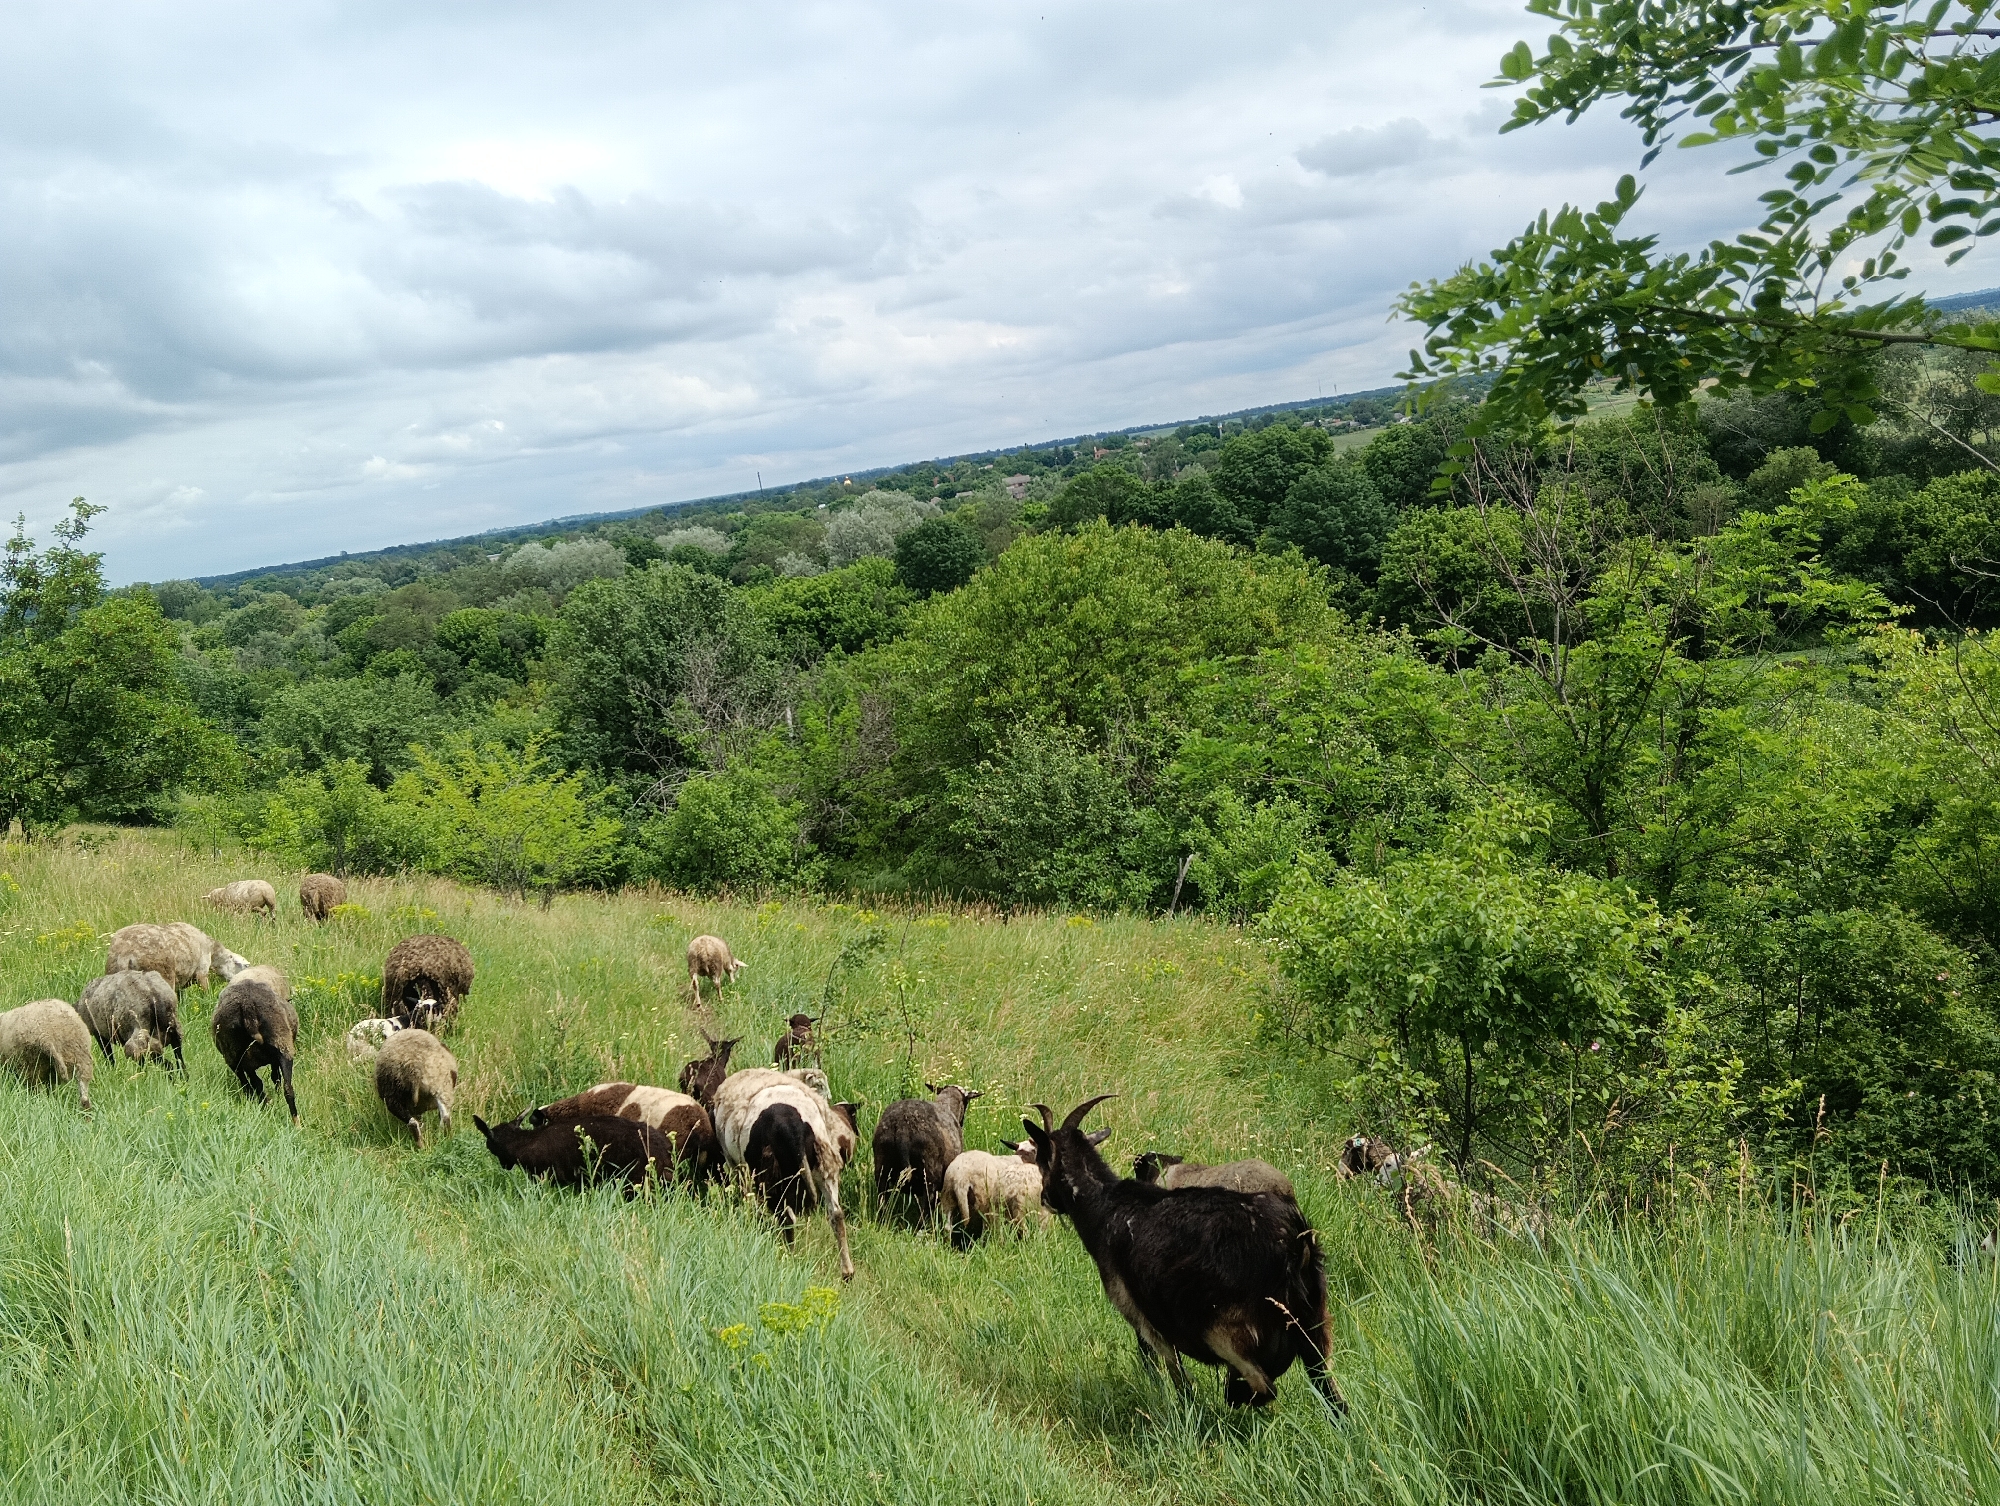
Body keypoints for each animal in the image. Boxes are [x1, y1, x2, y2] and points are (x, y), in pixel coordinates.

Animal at [211, 977, 299, 1122]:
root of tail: (247, 1005)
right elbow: (274, 1077)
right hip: (281, 1046)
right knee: (285, 1088)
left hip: (236, 1055)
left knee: (256, 1085)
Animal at [710, 1067, 861, 1279]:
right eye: (820, 1085)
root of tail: (792, 1127)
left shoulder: (737, 1167)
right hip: (824, 1163)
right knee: (836, 1215)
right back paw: (847, 1271)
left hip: (772, 1174)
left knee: (786, 1217)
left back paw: (790, 1258)